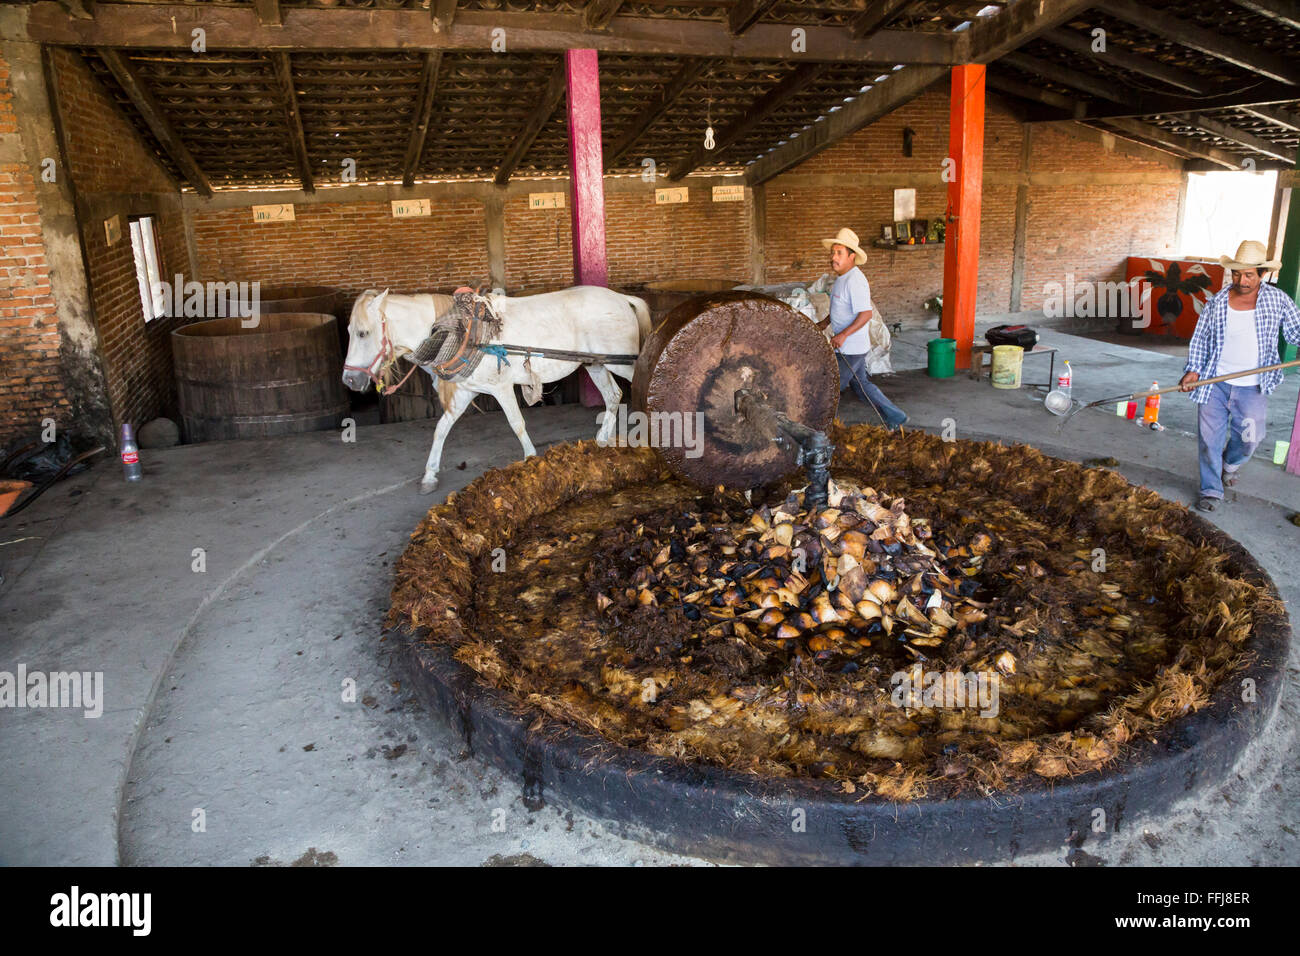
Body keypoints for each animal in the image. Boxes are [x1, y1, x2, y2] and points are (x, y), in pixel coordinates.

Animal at [343, 283, 650, 494]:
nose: (349, 380)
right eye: (350, 332)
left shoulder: (501, 387)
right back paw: (602, 439)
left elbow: (517, 424)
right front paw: (430, 475)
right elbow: (441, 429)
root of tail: (621, 298)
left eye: (363, 333)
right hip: (595, 364)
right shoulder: (465, 391)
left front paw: (531, 461)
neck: (462, 333)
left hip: (623, 362)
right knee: (613, 396)